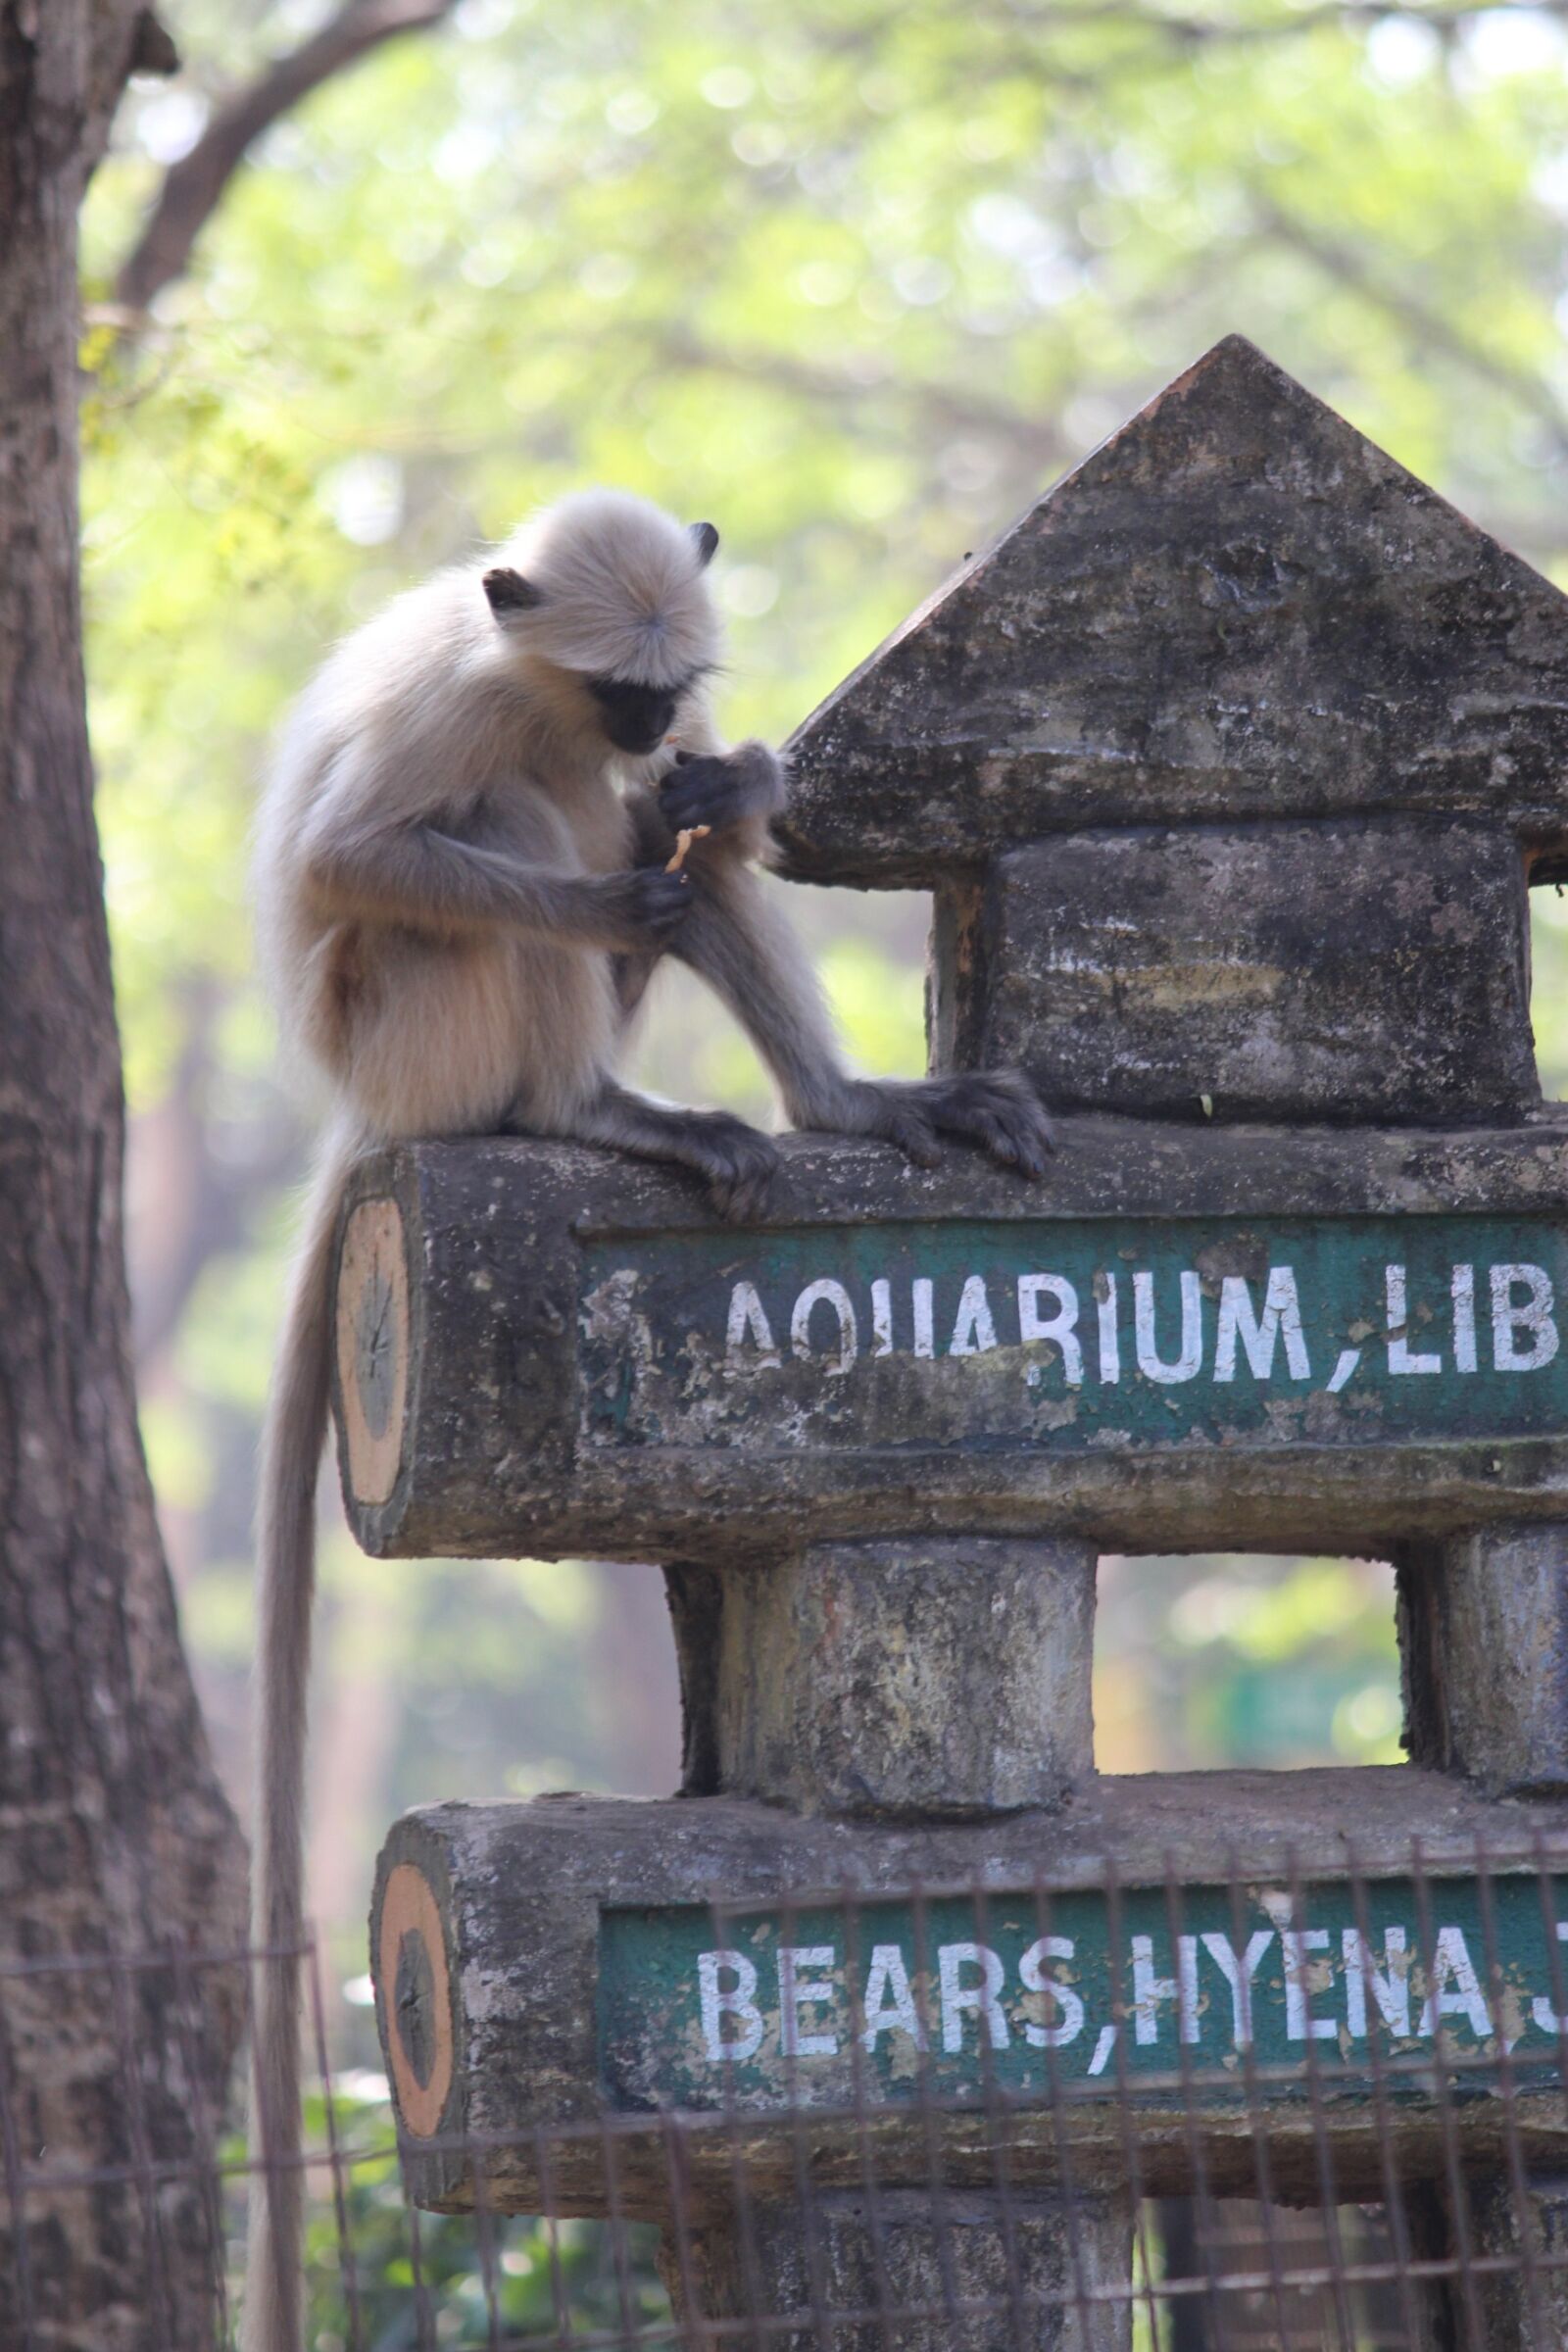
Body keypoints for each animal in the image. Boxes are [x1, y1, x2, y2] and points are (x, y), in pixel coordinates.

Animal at [243, 488, 1052, 2352]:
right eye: (617, 682)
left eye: (668, 681)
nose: (645, 728)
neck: (553, 700)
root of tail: (363, 1116)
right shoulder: (470, 705)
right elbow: (350, 857)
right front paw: (624, 880)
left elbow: (711, 815)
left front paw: (733, 789)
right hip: (420, 1036)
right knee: (491, 867)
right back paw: (596, 1106)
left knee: (690, 862)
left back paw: (835, 1095)